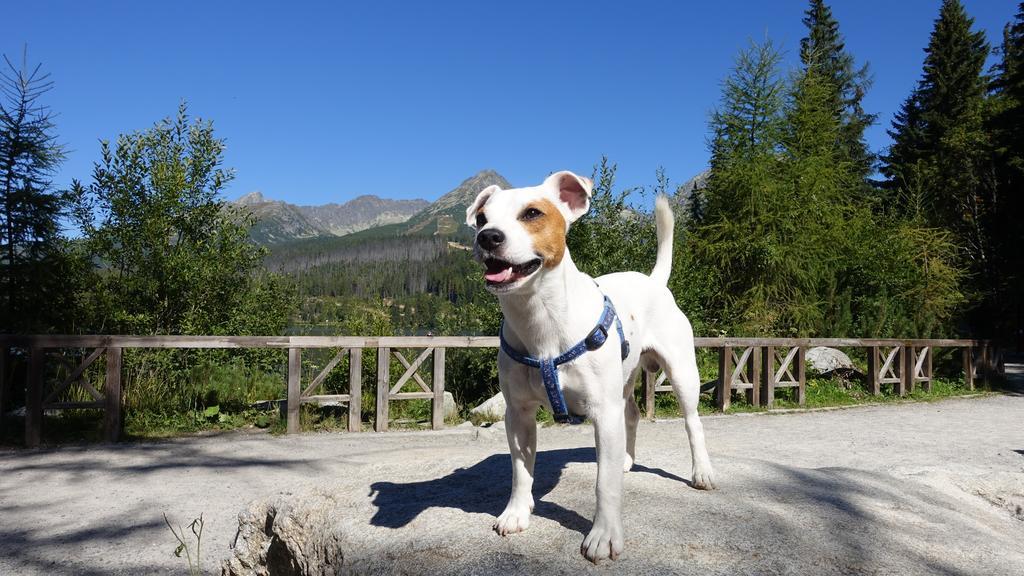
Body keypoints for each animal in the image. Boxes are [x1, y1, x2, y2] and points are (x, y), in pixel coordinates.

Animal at [468, 169, 716, 561]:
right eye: (481, 218)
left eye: (532, 213)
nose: (487, 236)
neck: (540, 320)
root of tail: (654, 282)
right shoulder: (518, 414)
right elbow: (520, 470)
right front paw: (517, 513)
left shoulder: (603, 412)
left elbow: (605, 483)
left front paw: (603, 536)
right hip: (624, 379)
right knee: (631, 414)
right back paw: (626, 459)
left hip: (682, 375)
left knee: (693, 424)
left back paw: (701, 471)